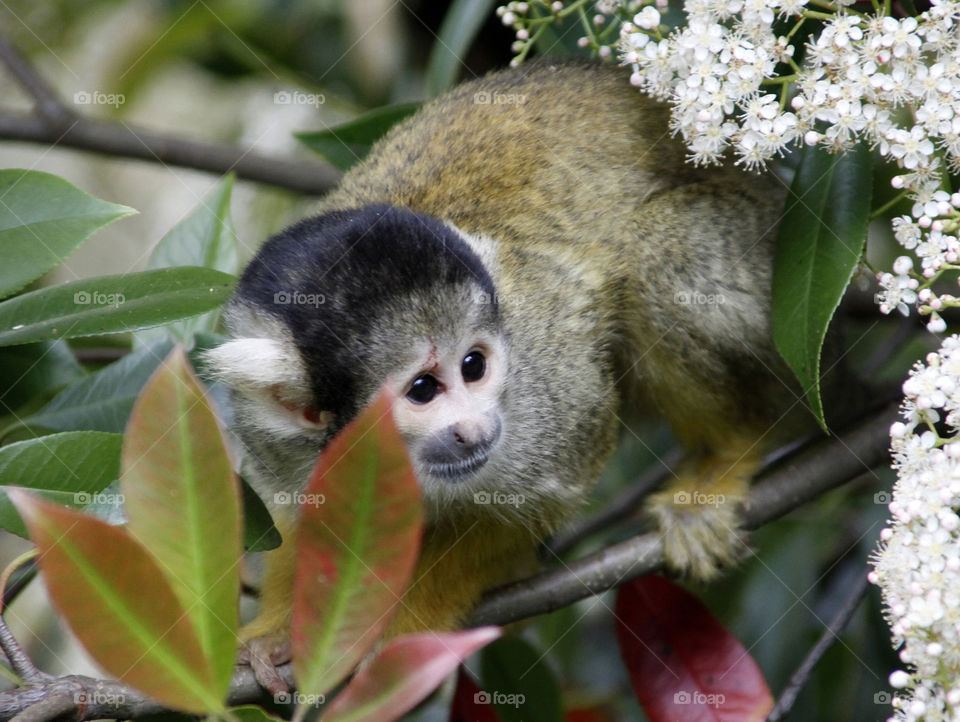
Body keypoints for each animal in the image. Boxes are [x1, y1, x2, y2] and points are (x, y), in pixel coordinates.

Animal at [204, 58, 812, 686]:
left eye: (474, 366)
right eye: (423, 389)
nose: (474, 429)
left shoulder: (544, 380)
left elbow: (542, 494)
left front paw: (403, 632)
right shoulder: (274, 436)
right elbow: (300, 515)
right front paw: (279, 629)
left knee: (658, 253)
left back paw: (727, 454)